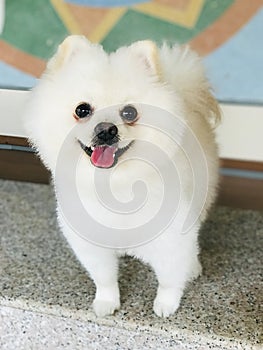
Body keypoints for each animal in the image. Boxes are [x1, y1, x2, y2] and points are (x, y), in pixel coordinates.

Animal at [24, 35, 221, 318]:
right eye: (82, 110)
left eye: (130, 113)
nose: (106, 130)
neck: (114, 187)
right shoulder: (90, 242)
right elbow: (104, 278)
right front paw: (107, 301)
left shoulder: (170, 237)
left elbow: (169, 278)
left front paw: (166, 304)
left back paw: (192, 267)